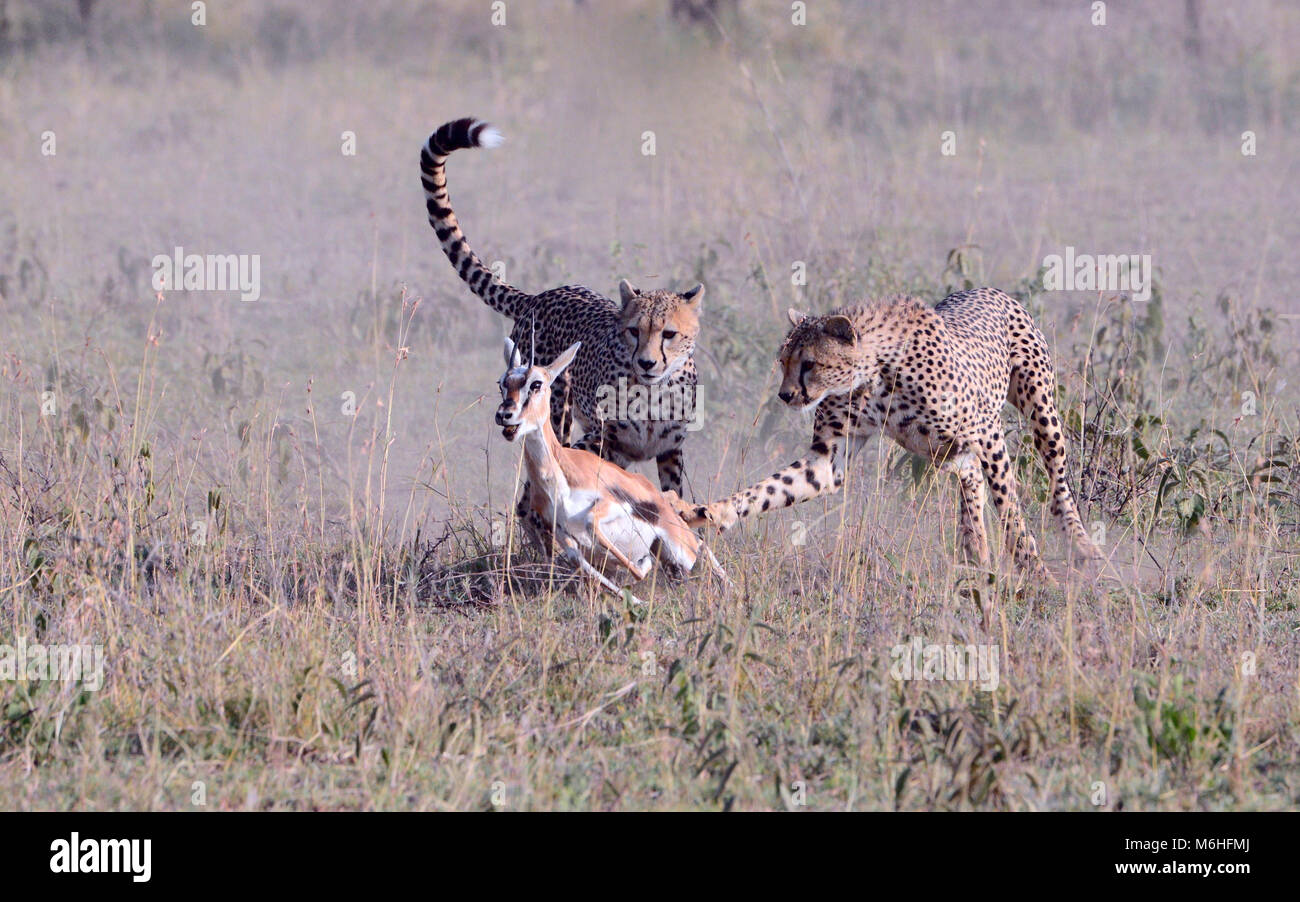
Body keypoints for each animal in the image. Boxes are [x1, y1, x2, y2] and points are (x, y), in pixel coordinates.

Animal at [418, 117, 707, 514]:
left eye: (669, 334)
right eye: (633, 331)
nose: (647, 363)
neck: (654, 393)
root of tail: (541, 295)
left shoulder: (669, 453)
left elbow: (671, 499)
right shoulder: (601, 441)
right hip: (557, 409)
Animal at [686, 285, 1102, 577]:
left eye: (809, 363)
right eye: (782, 361)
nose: (786, 395)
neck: (873, 376)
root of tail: (990, 290)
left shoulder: (988, 432)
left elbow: (1011, 508)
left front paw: (1034, 567)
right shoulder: (828, 460)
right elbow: (772, 488)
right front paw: (712, 511)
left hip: (1041, 411)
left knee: (1057, 480)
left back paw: (1081, 544)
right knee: (970, 478)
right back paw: (975, 550)